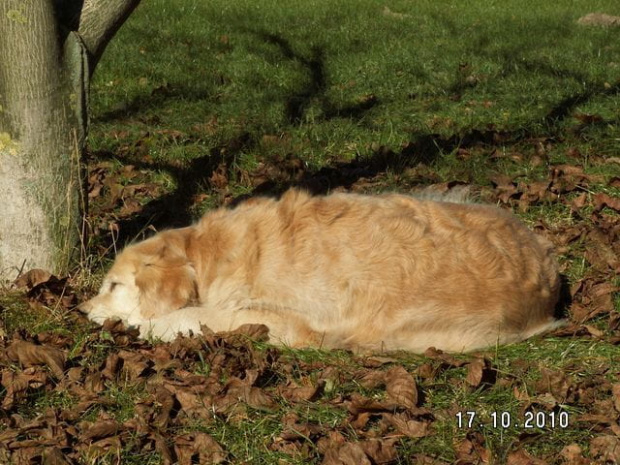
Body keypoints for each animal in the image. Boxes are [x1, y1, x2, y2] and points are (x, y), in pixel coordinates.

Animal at [78, 189, 560, 352]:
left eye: (114, 284)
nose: (80, 310)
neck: (212, 255)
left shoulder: (283, 322)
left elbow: (188, 316)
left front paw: (143, 324)